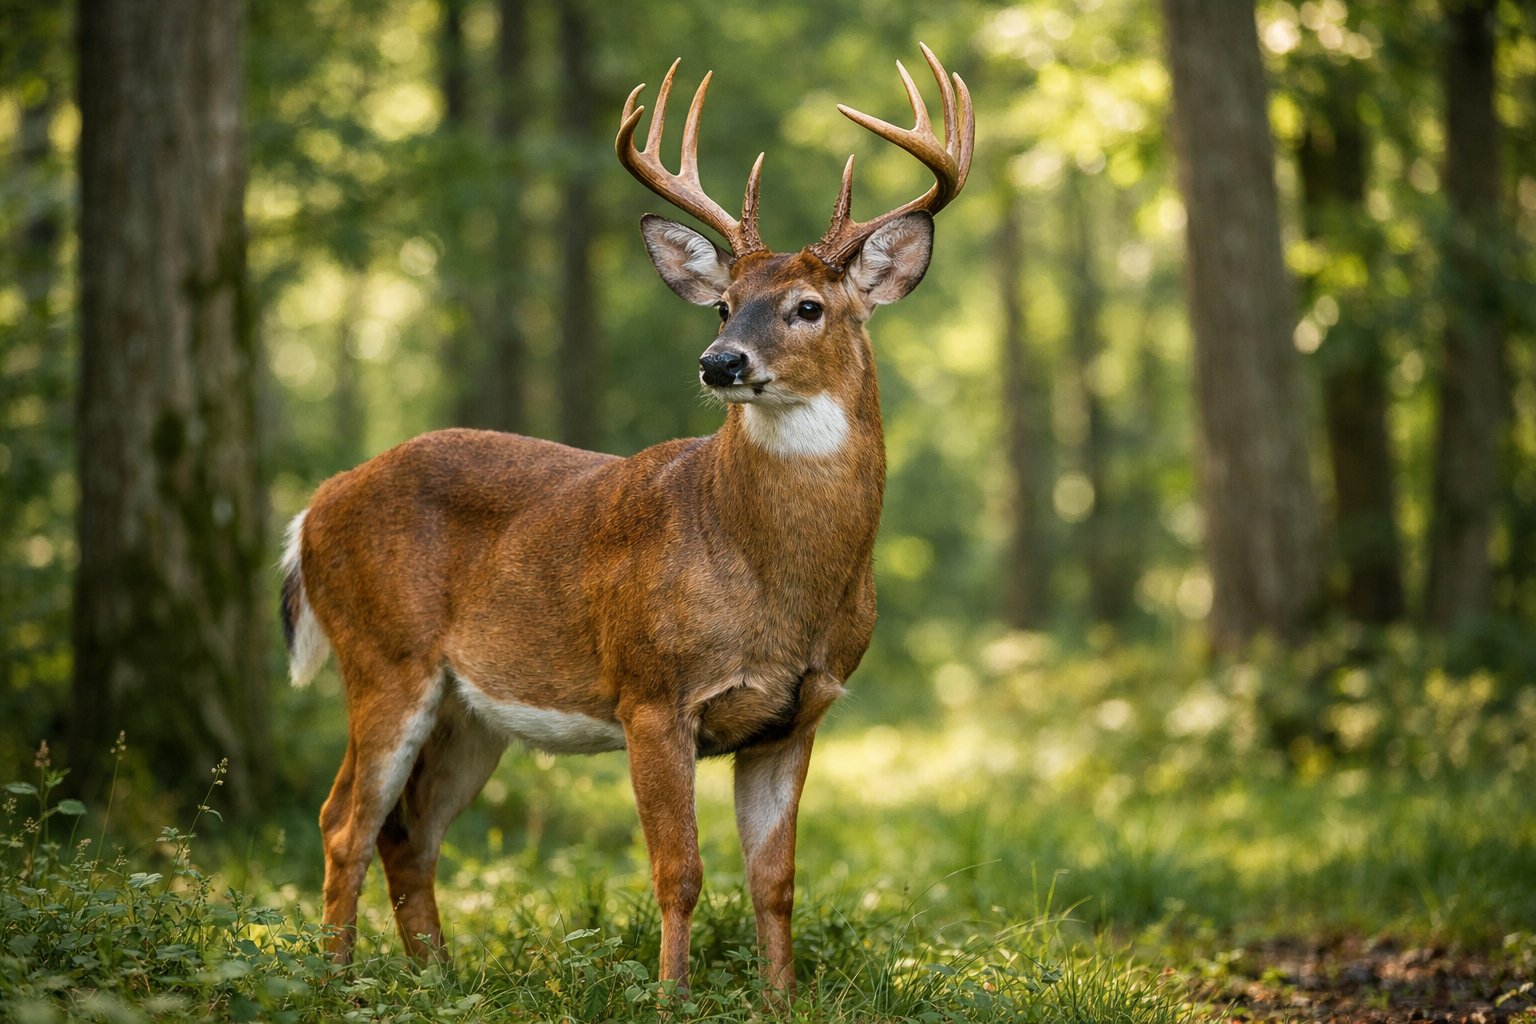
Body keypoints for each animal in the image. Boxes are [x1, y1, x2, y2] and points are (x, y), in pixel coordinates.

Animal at [279, 43, 972, 994]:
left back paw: (440, 980)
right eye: (722, 304)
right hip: (383, 655)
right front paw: (674, 996)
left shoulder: (801, 711)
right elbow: (679, 871)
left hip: (470, 708)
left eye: (809, 307)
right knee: (342, 818)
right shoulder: (651, 691)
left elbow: (776, 880)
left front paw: (781, 1000)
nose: (721, 362)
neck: (776, 583)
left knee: (406, 831)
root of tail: (315, 507)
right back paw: (338, 981)